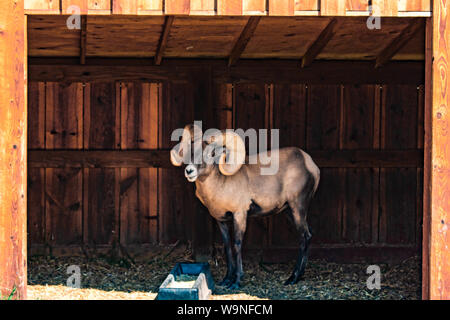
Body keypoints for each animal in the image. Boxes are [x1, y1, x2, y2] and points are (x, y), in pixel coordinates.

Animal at [170, 123, 320, 288]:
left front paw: (236, 282)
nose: (189, 171)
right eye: (189, 152)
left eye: (212, 153)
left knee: (304, 236)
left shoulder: (239, 215)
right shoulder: (221, 220)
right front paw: (226, 280)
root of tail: (311, 165)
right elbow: (227, 247)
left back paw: (292, 278)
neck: (221, 185)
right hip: (290, 211)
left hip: (297, 207)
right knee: (308, 234)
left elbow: (237, 244)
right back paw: (298, 276)